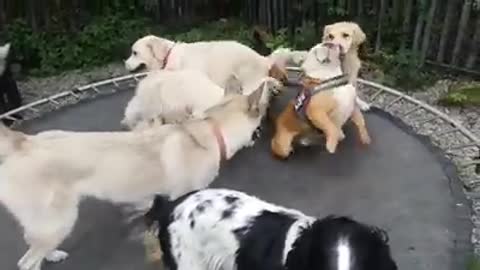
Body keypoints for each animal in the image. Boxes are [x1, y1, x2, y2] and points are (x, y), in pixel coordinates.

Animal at [0, 78, 278, 270]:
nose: (260, 133)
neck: (210, 130)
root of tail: (21, 143)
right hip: (59, 220)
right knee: (27, 262)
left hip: (48, 223)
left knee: (34, 241)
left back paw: (52, 254)